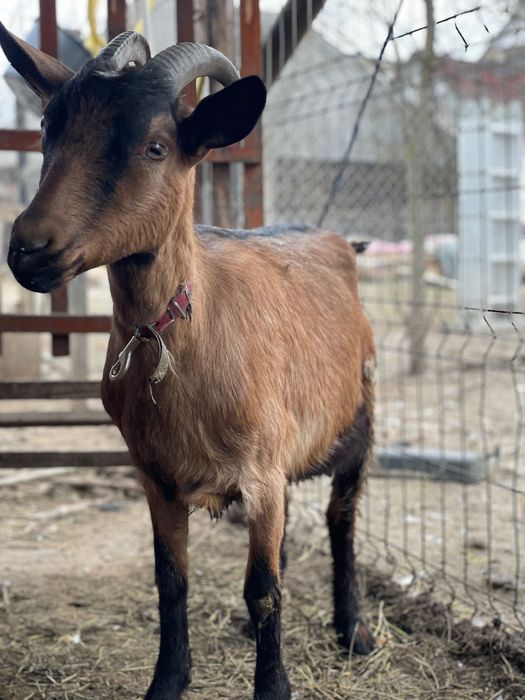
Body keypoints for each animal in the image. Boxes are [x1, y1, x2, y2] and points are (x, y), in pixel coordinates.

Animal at [0, 26, 376, 700]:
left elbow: (264, 590)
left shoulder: (262, 474)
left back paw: (354, 629)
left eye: (155, 147)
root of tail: (335, 237)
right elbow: (171, 581)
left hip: (359, 423)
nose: (29, 250)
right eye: (47, 129)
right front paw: (168, 681)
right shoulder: (157, 476)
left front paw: (273, 687)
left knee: (342, 520)